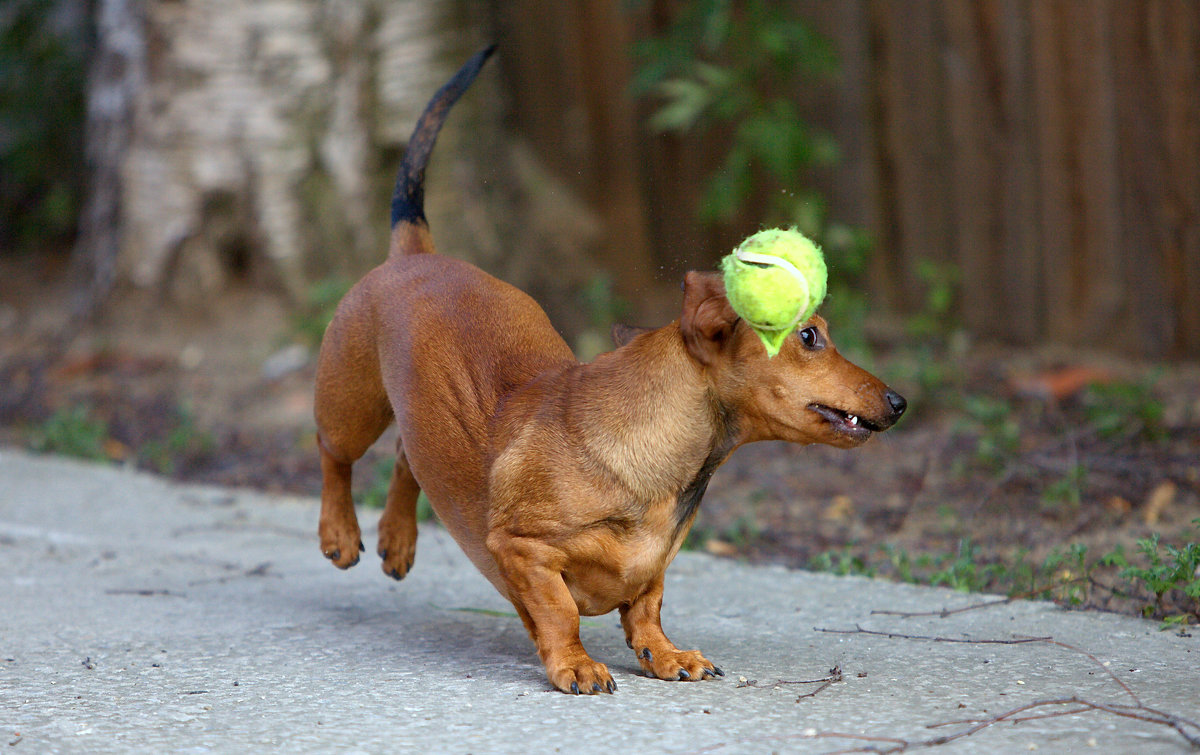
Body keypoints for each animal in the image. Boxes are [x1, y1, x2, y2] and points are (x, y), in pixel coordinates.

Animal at [314, 48, 902, 696]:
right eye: (809, 335)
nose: (899, 402)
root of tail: (415, 253)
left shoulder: (654, 569)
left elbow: (647, 609)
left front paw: (666, 655)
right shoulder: (521, 549)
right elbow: (559, 611)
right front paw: (574, 663)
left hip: (419, 419)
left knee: (406, 458)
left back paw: (397, 540)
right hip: (352, 405)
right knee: (336, 456)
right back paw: (339, 533)